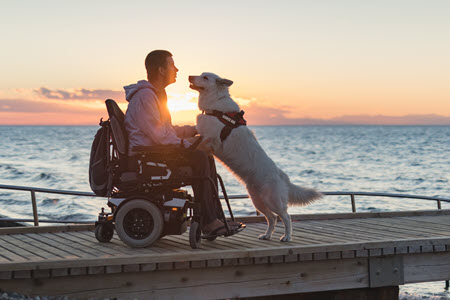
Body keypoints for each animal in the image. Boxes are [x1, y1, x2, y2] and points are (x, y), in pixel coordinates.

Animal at [188, 72, 322, 241]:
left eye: (205, 77)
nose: (189, 76)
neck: (215, 104)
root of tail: (282, 176)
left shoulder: (212, 140)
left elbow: (197, 144)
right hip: (257, 200)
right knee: (272, 218)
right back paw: (267, 235)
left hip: (272, 200)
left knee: (286, 217)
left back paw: (286, 237)